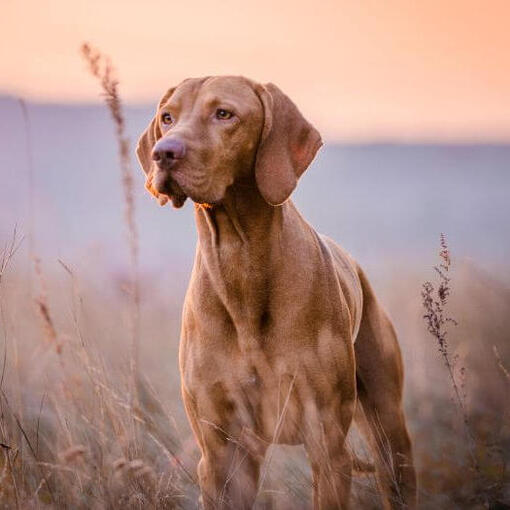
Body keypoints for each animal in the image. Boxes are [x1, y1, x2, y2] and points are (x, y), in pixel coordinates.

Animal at [137, 76, 416, 510]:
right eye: (167, 117)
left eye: (224, 114)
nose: (163, 152)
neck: (241, 264)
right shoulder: (221, 454)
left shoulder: (326, 444)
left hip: (389, 432)